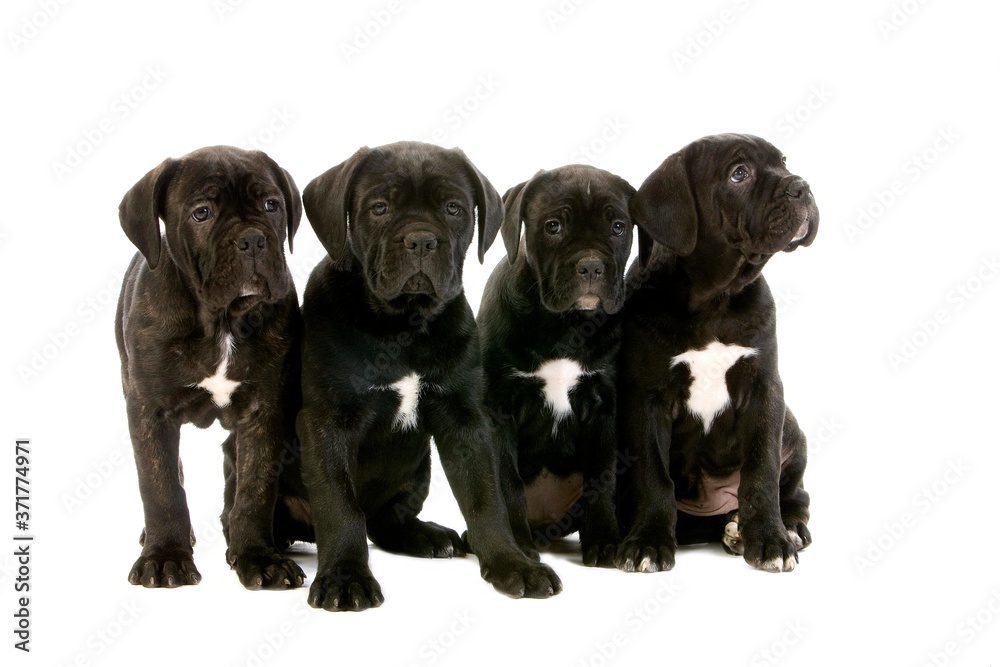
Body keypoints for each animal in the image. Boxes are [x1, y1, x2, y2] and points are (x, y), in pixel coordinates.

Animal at [114, 145, 308, 588]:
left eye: (271, 205)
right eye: (201, 213)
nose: (251, 239)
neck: (222, 319)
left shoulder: (264, 410)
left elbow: (254, 489)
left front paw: (258, 557)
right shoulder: (149, 411)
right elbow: (161, 486)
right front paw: (165, 556)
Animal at [296, 141, 564, 612]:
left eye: (453, 208)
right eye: (379, 207)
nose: (421, 239)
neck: (403, 324)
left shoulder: (466, 419)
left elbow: (485, 497)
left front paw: (512, 564)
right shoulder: (325, 423)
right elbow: (338, 504)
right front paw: (345, 577)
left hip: (416, 468)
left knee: (384, 518)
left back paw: (427, 536)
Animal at [476, 164, 632, 568]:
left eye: (618, 227)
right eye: (553, 226)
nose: (591, 265)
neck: (565, 325)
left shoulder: (605, 408)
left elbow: (601, 478)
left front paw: (604, 541)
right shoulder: (500, 410)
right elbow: (508, 483)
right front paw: (517, 546)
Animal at [616, 134, 820, 576]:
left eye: (783, 162)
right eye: (738, 174)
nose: (801, 186)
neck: (716, 297)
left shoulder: (764, 389)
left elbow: (761, 471)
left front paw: (771, 540)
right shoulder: (647, 399)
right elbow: (654, 475)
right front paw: (648, 542)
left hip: (793, 430)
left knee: (795, 494)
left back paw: (779, 527)